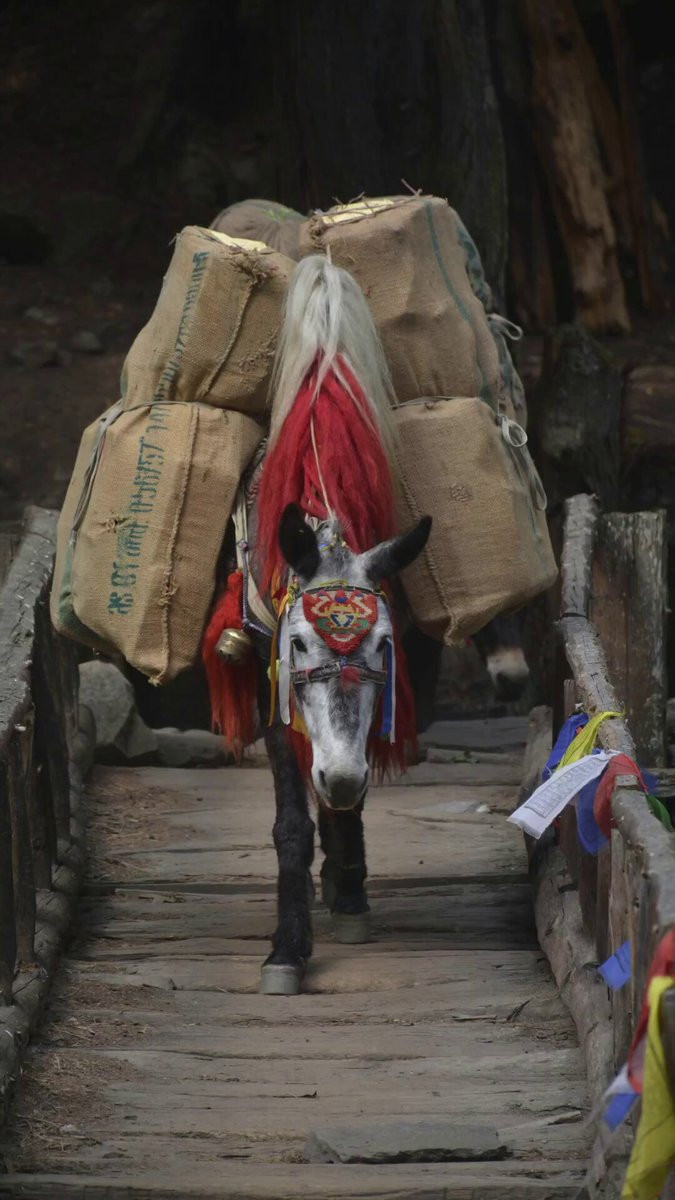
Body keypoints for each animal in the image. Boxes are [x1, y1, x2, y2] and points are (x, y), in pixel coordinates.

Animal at [204, 254, 430, 995]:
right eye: (300, 641)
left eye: (383, 645)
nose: (342, 775)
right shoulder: (271, 677)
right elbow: (289, 820)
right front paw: (286, 949)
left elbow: (345, 804)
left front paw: (349, 891)